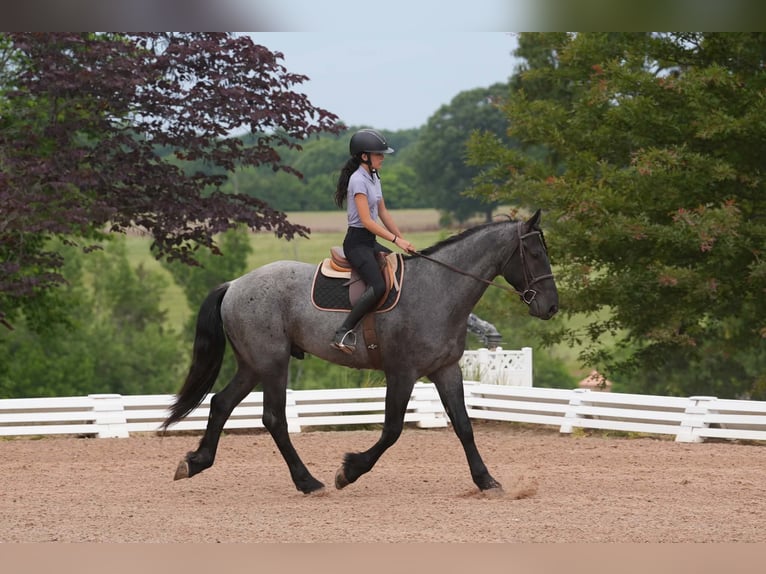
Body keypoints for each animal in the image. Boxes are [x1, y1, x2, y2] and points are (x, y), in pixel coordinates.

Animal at [161, 209, 559, 495]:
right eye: (534, 253)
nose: (551, 306)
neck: (440, 289)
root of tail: (234, 285)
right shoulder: (402, 372)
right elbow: (392, 429)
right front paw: (349, 471)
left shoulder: (446, 369)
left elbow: (463, 425)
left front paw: (486, 481)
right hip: (272, 363)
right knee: (274, 418)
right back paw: (309, 483)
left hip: (252, 364)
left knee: (221, 404)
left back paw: (195, 462)